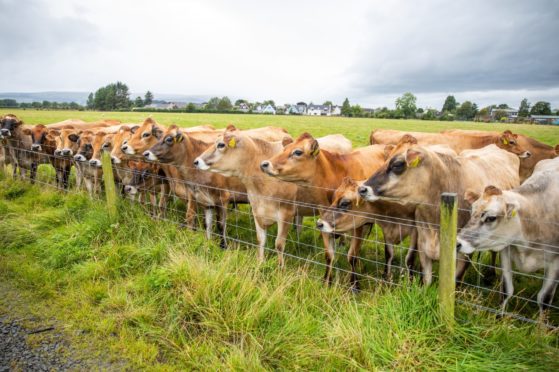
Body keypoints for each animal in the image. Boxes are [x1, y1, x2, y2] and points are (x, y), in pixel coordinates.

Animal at [260, 134, 388, 282]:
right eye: (284, 148)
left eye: (298, 152)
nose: (264, 164)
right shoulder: (324, 219)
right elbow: (329, 254)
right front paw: (327, 280)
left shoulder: (358, 225)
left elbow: (352, 256)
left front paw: (354, 283)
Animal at [358, 138, 520, 286]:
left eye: (397, 164)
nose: (362, 188)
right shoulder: (422, 245)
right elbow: (425, 280)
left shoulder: (462, 256)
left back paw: (491, 274)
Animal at [458, 157, 559, 314]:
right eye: (471, 211)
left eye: (491, 218)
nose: (458, 242)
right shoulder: (506, 251)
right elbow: (506, 290)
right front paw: (499, 317)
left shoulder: (555, 262)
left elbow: (544, 299)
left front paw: (542, 322)